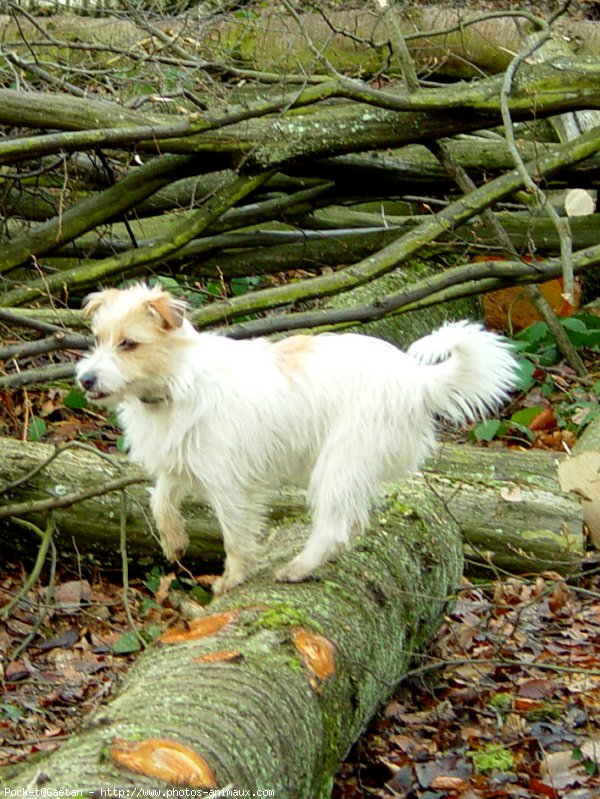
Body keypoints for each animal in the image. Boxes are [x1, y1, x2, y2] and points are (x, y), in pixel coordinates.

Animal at [76, 282, 520, 592]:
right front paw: (174, 541)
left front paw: (232, 578)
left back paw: (299, 567)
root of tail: (417, 378)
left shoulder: (231, 486)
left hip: (340, 461)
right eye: (97, 340)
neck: (176, 382)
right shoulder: (182, 462)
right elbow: (160, 499)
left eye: (129, 344)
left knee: (335, 527)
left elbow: (235, 537)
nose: (85, 379)